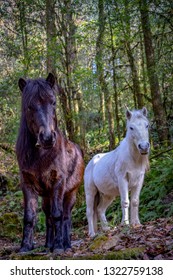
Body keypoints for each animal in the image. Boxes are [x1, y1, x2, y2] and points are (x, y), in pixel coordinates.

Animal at [15, 73, 85, 253]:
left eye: (53, 102)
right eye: (29, 106)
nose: (47, 138)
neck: (41, 156)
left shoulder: (58, 183)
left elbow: (58, 215)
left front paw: (59, 246)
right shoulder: (27, 184)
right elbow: (30, 217)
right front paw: (25, 247)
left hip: (70, 194)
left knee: (66, 217)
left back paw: (66, 244)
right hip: (47, 196)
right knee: (48, 218)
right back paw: (48, 245)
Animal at [84, 107, 149, 236]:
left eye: (147, 125)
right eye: (131, 127)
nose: (144, 147)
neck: (132, 158)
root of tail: (90, 163)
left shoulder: (139, 180)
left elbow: (135, 201)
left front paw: (137, 224)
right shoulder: (122, 179)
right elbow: (125, 201)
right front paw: (125, 224)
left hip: (108, 195)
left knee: (100, 209)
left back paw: (106, 229)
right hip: (90, 192)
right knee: (89, 211)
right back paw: (92, 234)